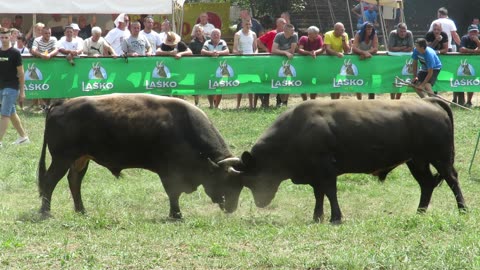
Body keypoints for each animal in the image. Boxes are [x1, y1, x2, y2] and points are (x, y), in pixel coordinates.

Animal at [37, 94, 242, 218]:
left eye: (239, 185)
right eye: (226, 181)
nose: (232, 207)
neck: (184, 127)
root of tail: (62, 104)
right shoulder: (168, 173)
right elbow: (173, 193)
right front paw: (176, 215)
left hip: (80, 159)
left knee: (74, 181)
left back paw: (81, 210)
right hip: (62, 159)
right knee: (49, 181)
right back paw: (46, 212)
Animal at [227, 98, 466, 223]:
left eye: (252, 180)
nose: (260, 203)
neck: (297, 129)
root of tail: (428, 100)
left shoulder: (326, 170)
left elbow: (329, 192)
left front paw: (335, 217)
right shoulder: (315, 174)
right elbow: (319, 195)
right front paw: (317, 216)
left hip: (440, 158)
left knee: (452, 180)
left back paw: (463, 209)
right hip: (417, 161)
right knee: (427, 184)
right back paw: (420, 212)